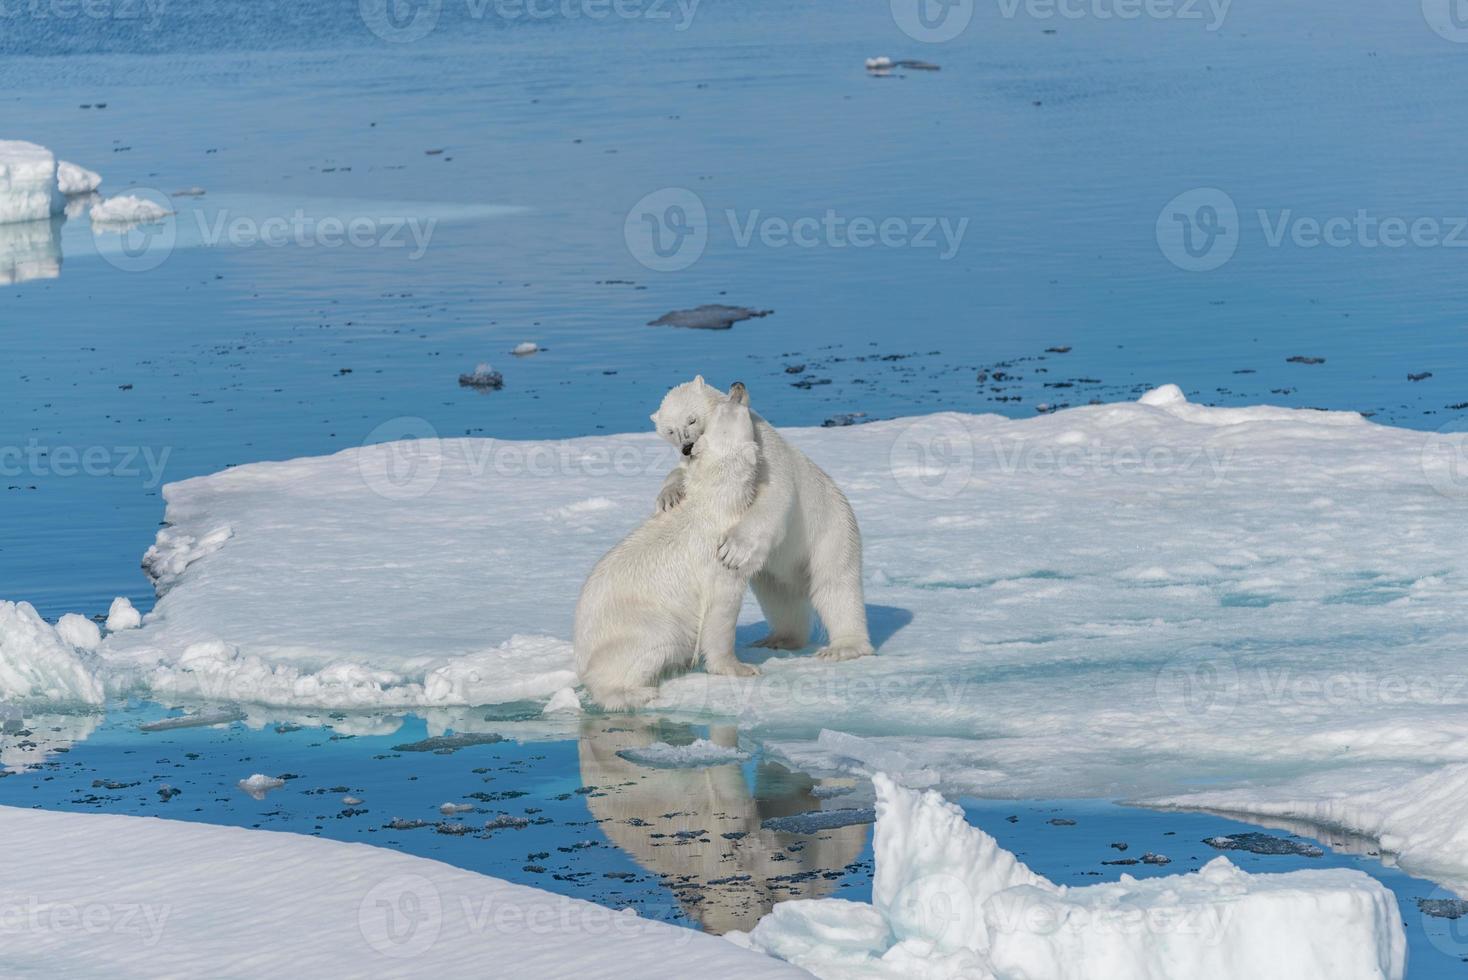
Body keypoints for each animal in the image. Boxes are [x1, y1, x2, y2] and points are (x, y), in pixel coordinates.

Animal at [569, 378, 763, 707]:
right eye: (727, 408)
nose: (737, 385)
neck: (716, 502)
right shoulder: (716, 558)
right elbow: (721, 611)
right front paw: (741, 668)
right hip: (640, 625)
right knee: (656, 641)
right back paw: (638, 691)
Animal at [654, 378, 869, 666]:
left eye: (692, 419)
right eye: (669, 430)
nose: (686, 446)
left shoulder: (766, 451)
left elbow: (774, 495)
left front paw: (732, 550)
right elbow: (684, 475)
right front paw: (668, 498)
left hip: (832, 533)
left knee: (836, 587)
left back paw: (844, 646)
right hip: (773, 569)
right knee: (779, 597)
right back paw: (778, 639)